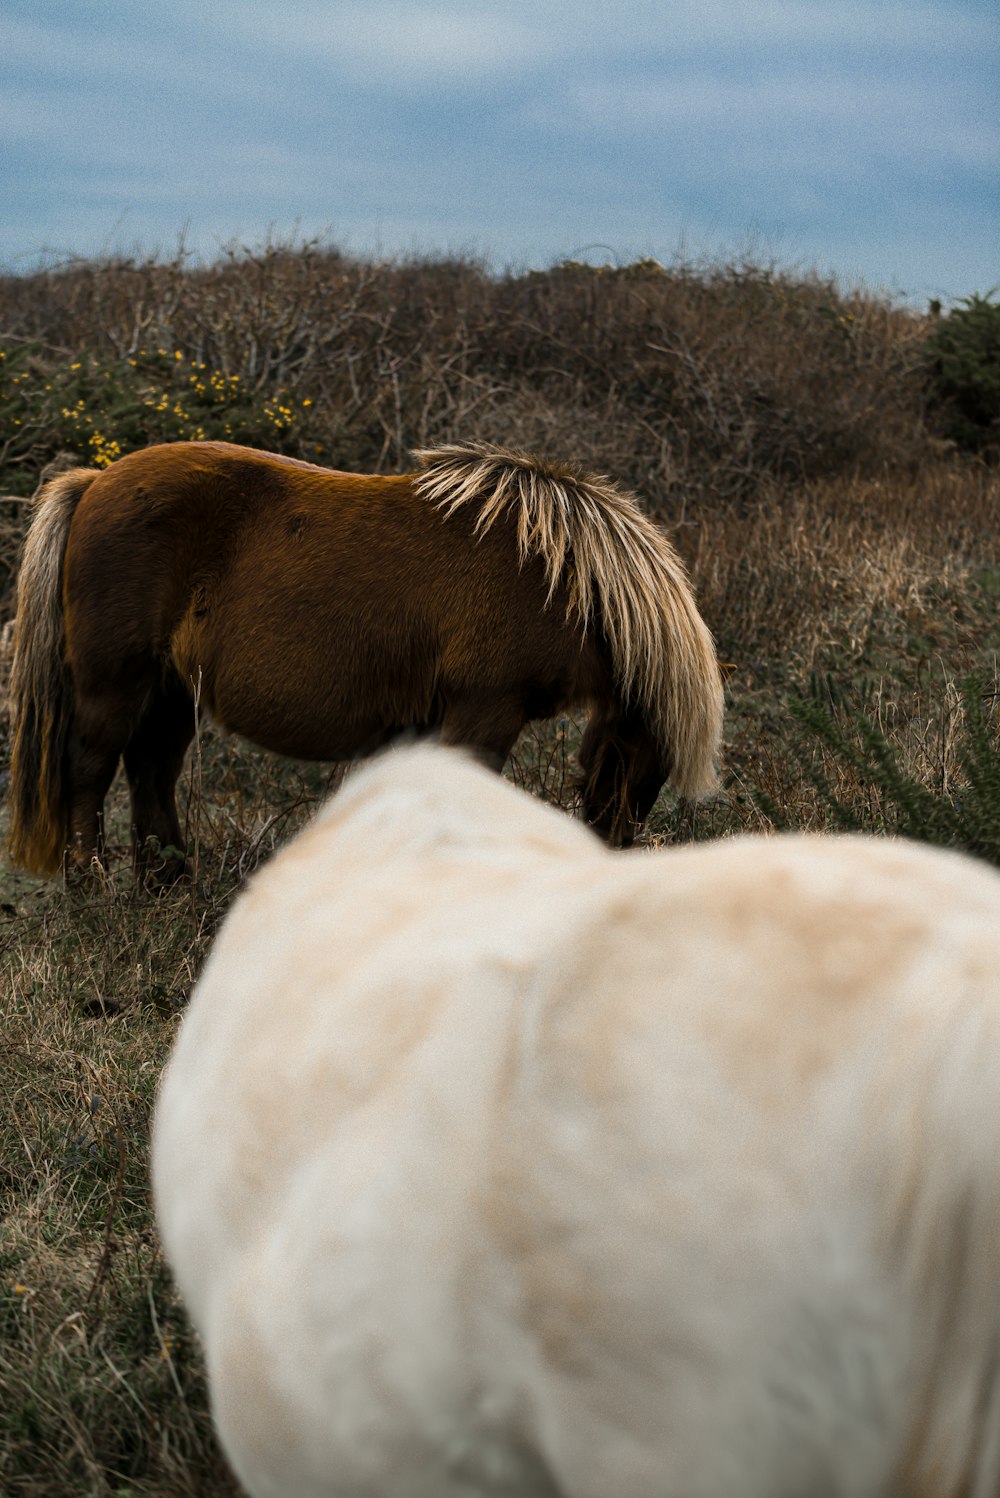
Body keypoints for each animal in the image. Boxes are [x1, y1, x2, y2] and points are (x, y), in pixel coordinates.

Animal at [3, 437, 721, 874]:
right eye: (640, 758)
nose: (613, 850)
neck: (548, 572)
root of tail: (96, 481)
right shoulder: (485, 712)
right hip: (114, 685)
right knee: (88, 773)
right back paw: (92, 886)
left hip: (172, 692)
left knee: (151, 771)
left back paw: (165, 884)